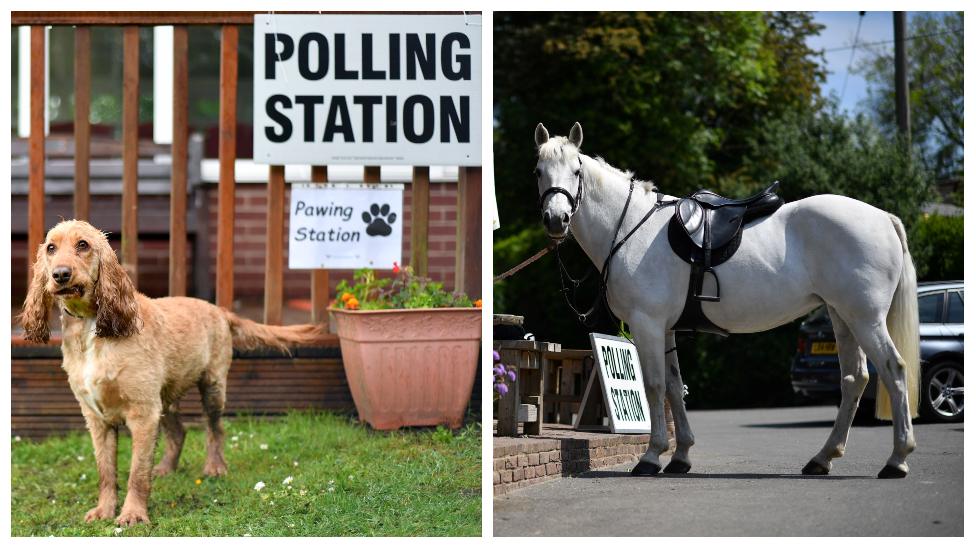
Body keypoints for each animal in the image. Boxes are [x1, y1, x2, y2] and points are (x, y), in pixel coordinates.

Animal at [21, 220, 324, 524]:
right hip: (165, 399)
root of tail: (220, 310)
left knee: (216, 429)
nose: (60, 274)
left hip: (212, 388)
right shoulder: (97, 418)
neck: (92, 326)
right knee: (179, 433)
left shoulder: (143, 413)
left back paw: (215, 467)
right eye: (51, 248)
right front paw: (104, 510)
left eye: (83, 245)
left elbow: (136, 473)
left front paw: (132, 514)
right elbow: (106, 473)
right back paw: (166, 468)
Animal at [532, 122, 924, 478]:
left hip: (865, 319)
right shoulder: (666, 329)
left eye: (576, 170)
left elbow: (655, 387)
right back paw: (822, 458)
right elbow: (674, 387)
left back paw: (897, 460)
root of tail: (883, 218)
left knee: (893, 370)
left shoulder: (648, 325)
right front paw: (680, 456)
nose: (556, 220)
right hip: (842, 317)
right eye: (538, 171)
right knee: (854, 379)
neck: (630, 227)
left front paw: (651, 456)